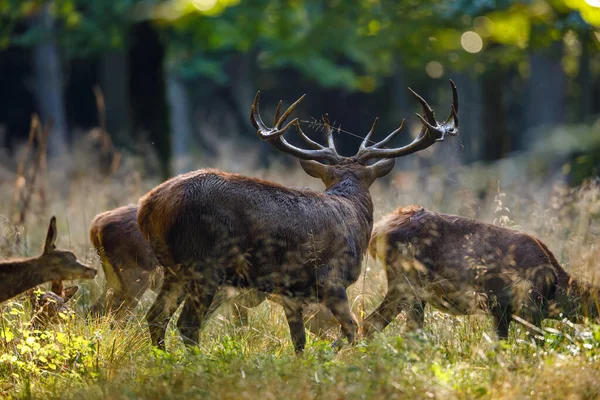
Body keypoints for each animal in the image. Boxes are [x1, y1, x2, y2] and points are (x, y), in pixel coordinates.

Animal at [138, 80, 460, 350]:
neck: (354, 213)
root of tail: (148, 205)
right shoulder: (332, 279)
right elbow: (351, 330)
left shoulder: (290, 292)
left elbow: (299, 340)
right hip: (203, 262)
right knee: (187, 324)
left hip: (174, 267)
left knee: (156, 316)